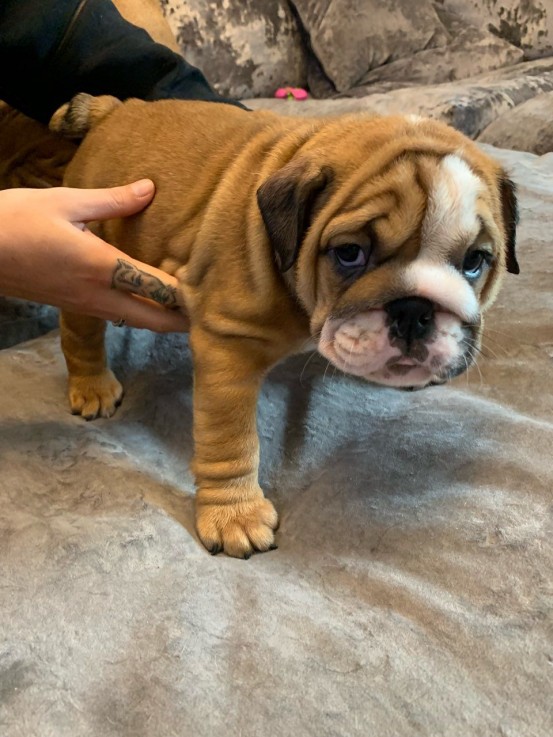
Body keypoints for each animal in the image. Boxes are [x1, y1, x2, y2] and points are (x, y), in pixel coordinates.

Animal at [48, 96, 516, 556]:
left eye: (475, 261)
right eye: (349, 254)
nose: (413, 311)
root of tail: (115, 108)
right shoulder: (228, 347)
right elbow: (230, 439)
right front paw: (235, 515)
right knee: (80, 335)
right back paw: (93, 387)